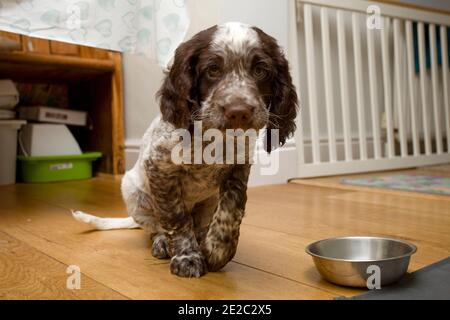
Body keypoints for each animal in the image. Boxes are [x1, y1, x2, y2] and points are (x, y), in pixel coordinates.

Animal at [73, 22, 298, 278]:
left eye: (261, 71)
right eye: (213, 70)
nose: (238, 112)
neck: (214, 139)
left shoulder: (238, 168)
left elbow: (232, 208)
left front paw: (217, 251)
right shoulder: (160, 168)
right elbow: (175, 218)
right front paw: (187, 256)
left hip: (208, 201)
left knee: (199, 224)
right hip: (132, 193)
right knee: (154, 226)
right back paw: (162, 242)